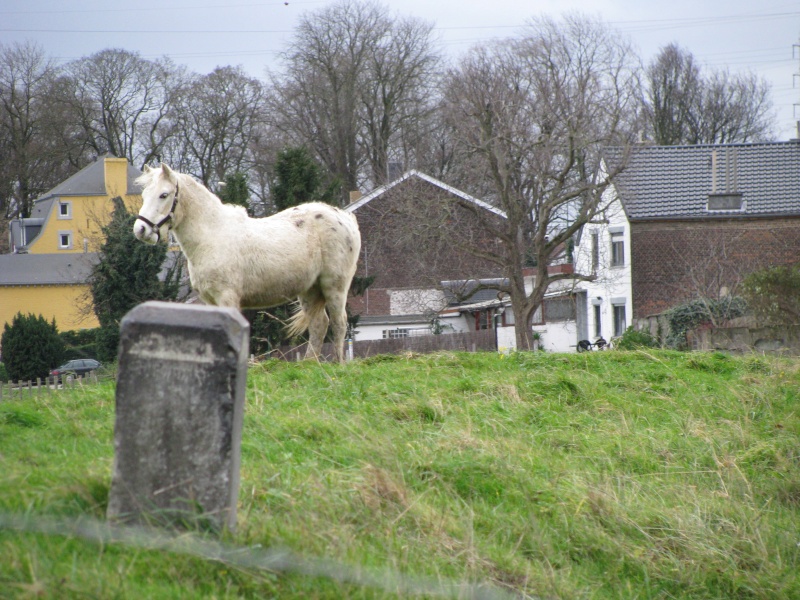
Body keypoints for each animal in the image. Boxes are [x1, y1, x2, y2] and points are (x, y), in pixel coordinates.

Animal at [134, 162, 360, 364]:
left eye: (164, 195)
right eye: (144, 195)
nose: (141, 230)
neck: (212, 236)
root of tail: (345, 218)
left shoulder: (228, 298)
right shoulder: (210, 301)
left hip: (335, 287)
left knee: (339, 323)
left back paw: (339, 364)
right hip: (309, 289)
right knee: (318, 324)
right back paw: (310, 364)